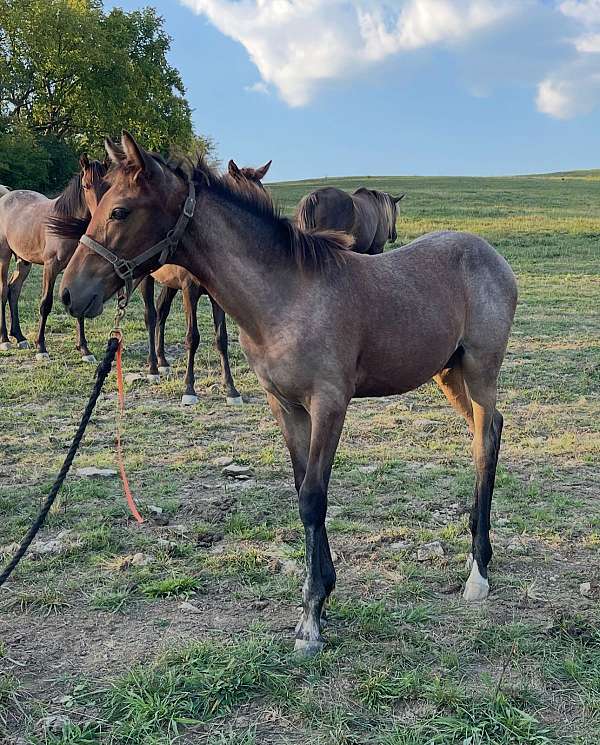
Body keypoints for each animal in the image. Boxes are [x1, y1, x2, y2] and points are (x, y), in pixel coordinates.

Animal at [0, 155, 105, 358]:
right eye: (86, 185)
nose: (100, 216)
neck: (64, 225)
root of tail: (5, 196)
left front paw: (84, 349)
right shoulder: (51, 267)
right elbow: (45, 304)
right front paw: (41, 347)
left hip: (24, 261)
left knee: (13, 290)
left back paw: (20, 337)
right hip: (3, 257)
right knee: (2, 291)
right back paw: (5, 340)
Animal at [61, 131, 516, 652]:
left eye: (120, 211)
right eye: (97, 204)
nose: (72, 294)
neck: (286, 297)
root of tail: (491, 256)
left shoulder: (329, 404)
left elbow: (313, 498)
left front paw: (311, 618)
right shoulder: (285, 406)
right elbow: (302, 490)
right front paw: (324, 593)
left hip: (480, 370)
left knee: (484, 441)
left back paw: (478, 572)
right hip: (448, 373)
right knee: (490, 429)